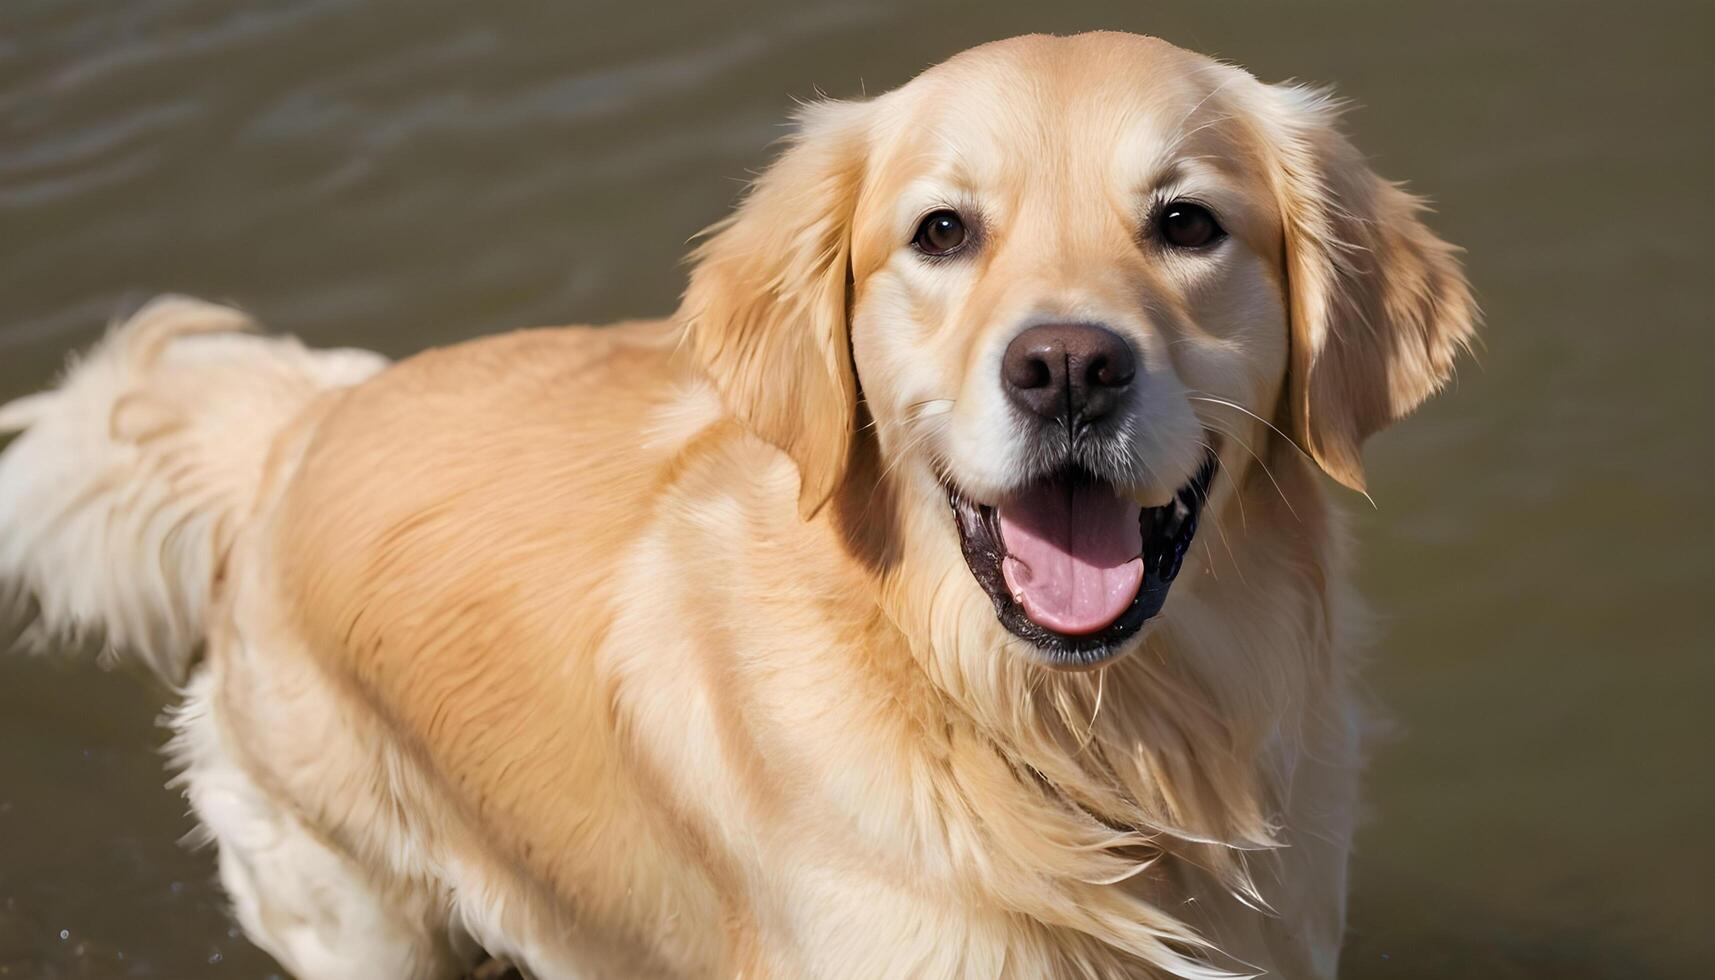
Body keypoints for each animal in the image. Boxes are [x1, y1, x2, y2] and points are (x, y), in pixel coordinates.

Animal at [0, 30, 1474, 980]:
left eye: (1185, 223)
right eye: (942, 231)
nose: (1066, 367)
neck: (1053, 739)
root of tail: (295, 426)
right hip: (352, 909)